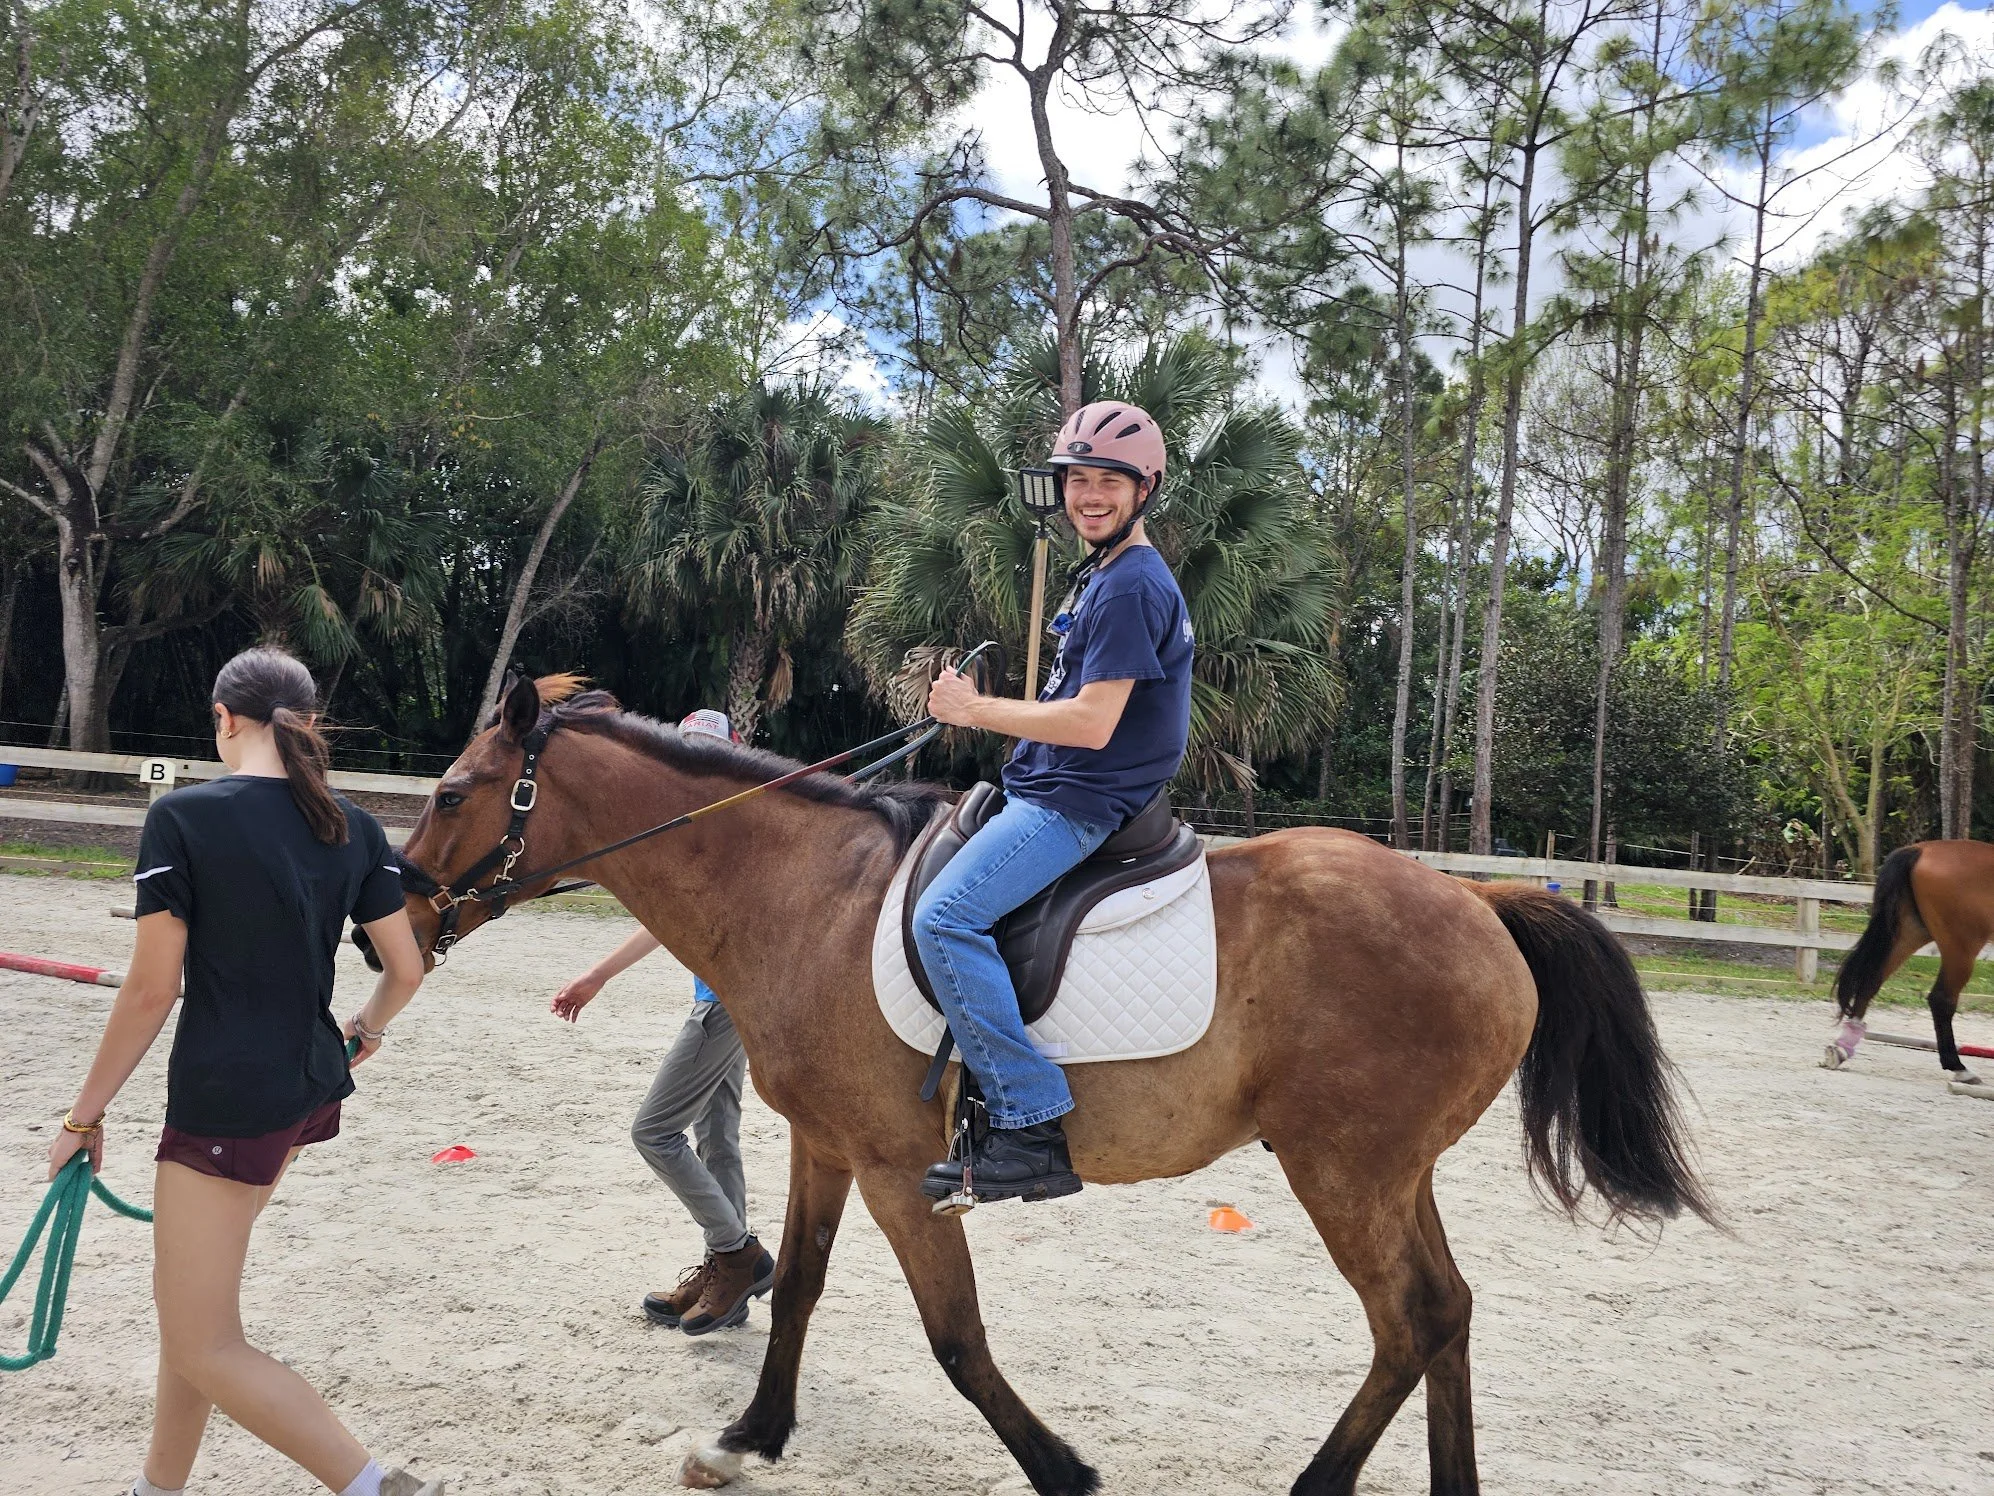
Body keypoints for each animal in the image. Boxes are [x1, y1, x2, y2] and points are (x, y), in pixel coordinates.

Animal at [375, 674, 1713, 1496]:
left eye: (448, 793)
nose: (392, 911)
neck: (805, 891)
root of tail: (1478, 901)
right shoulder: (826, 1144)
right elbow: (798, 1284)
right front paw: (750, 1434)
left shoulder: (899, 1170)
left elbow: (956, 1335)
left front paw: (1060, 1465)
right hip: (1389, 1172)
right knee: (1446, 1310)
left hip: (1341, 1169)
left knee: (1411, 1318)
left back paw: (1316, 1481)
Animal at [1832, 840, 1994, 1081]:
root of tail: (1920, 849)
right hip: (1961, 947)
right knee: (1941, 999)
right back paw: (1957, 1066)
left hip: (1910, 933)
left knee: (1870, 982)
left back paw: (1842, 1048)